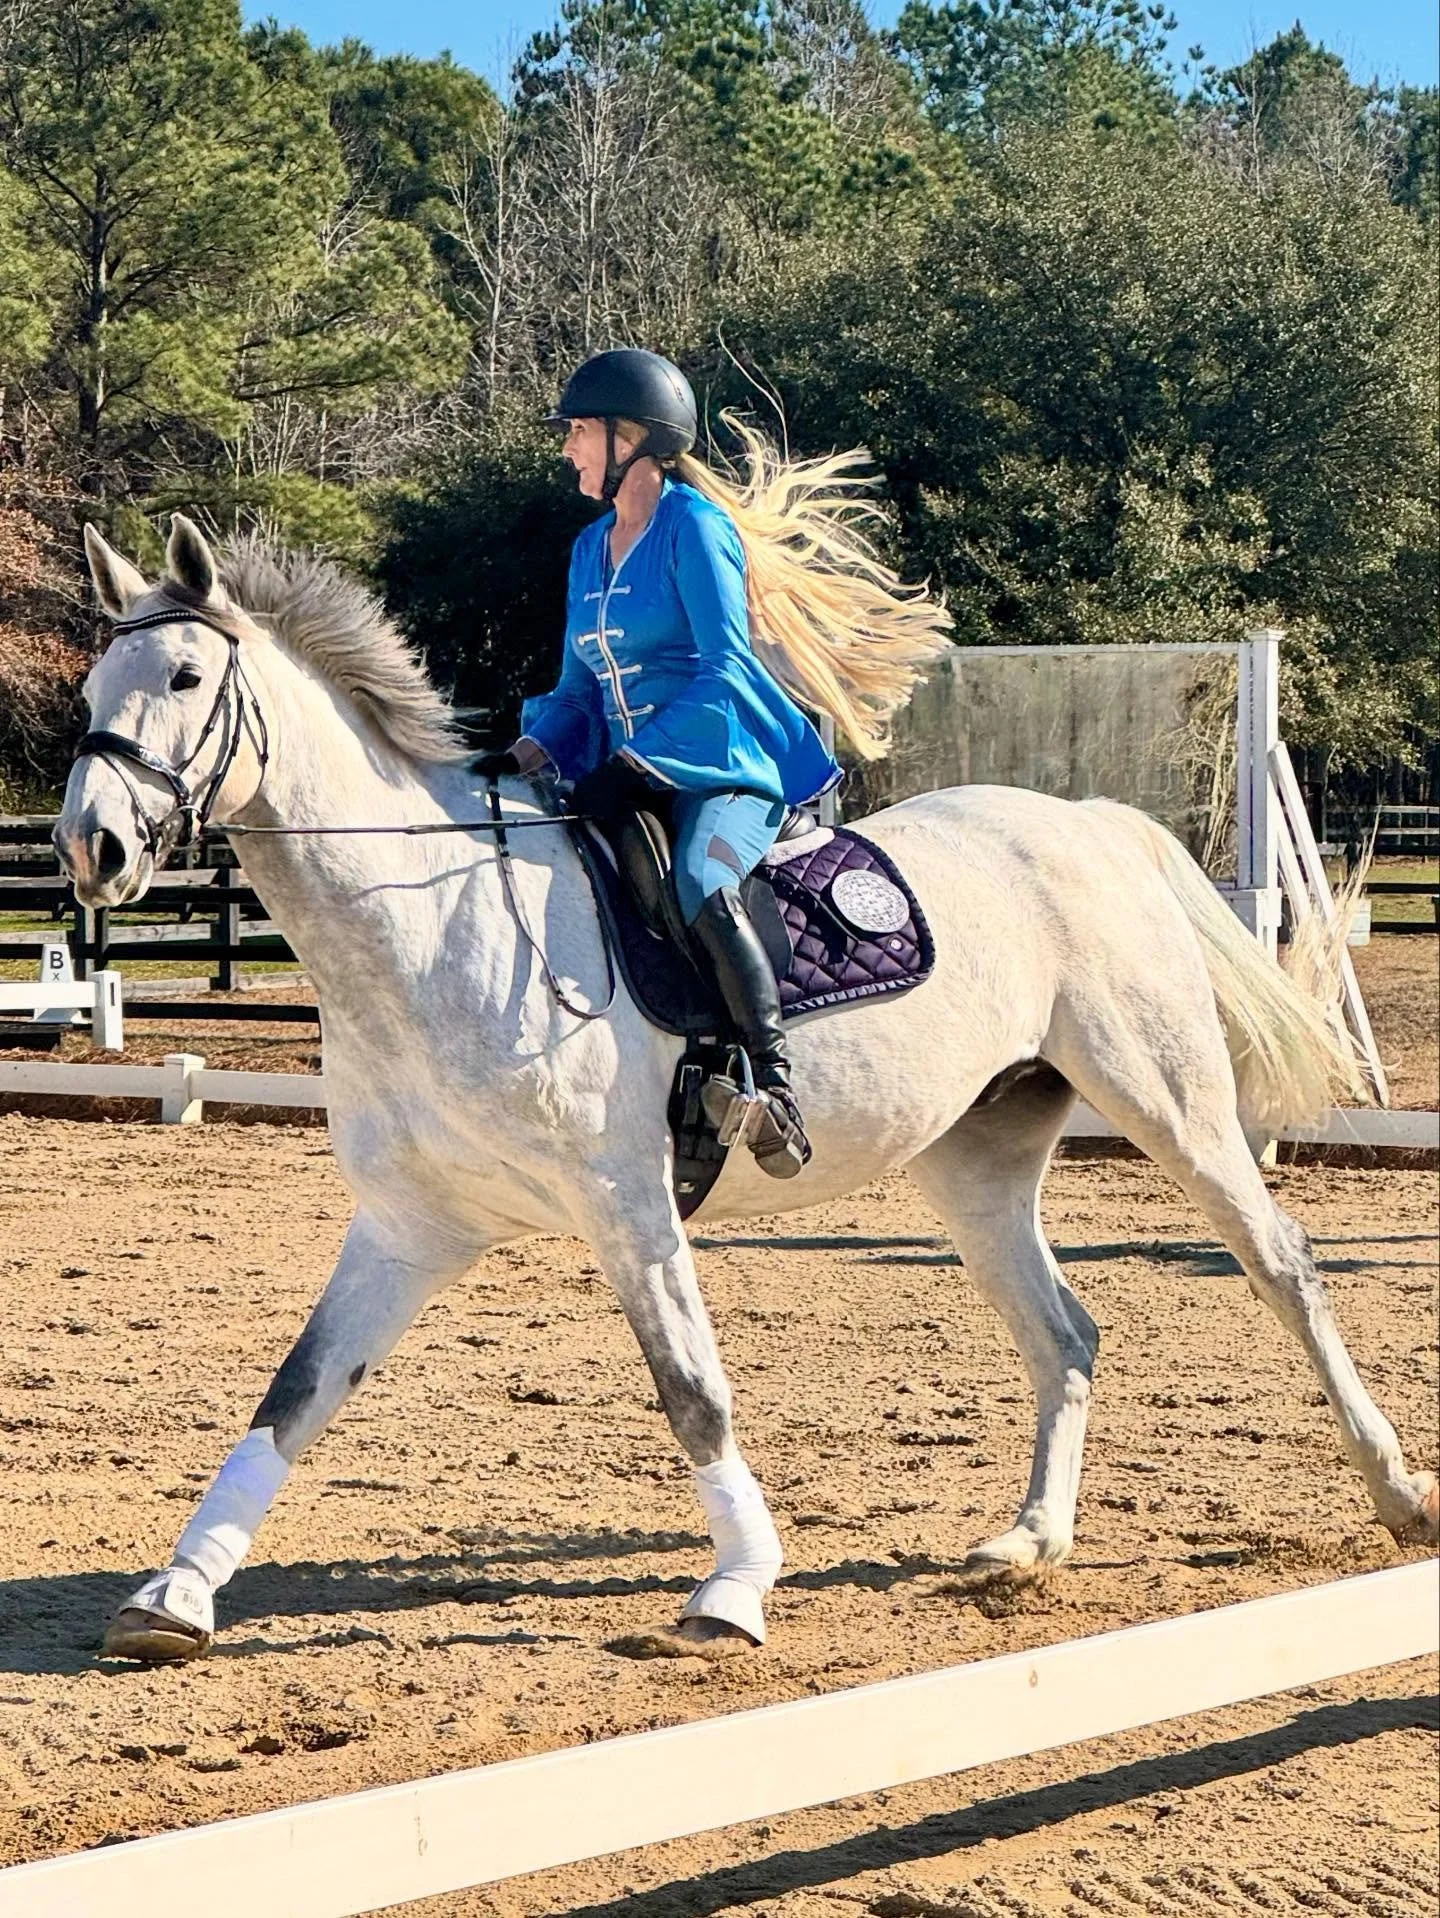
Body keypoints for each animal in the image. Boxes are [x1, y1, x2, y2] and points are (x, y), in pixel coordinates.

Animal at [53, 516, 1437, 1663]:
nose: (89, 847)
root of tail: (1087, 820)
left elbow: (692, 1392)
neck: (436, 925)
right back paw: (1029, 1541)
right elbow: (294, 1392)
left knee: (1282, 1266)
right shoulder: (410, 1226)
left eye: (186, 680)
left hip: (1172, 1106)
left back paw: (1396, 1493)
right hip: (975, 1162)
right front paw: (176, 1593)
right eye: (90, 692)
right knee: (1066, 1333)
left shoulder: (628, 1206)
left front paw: (735, 1588)